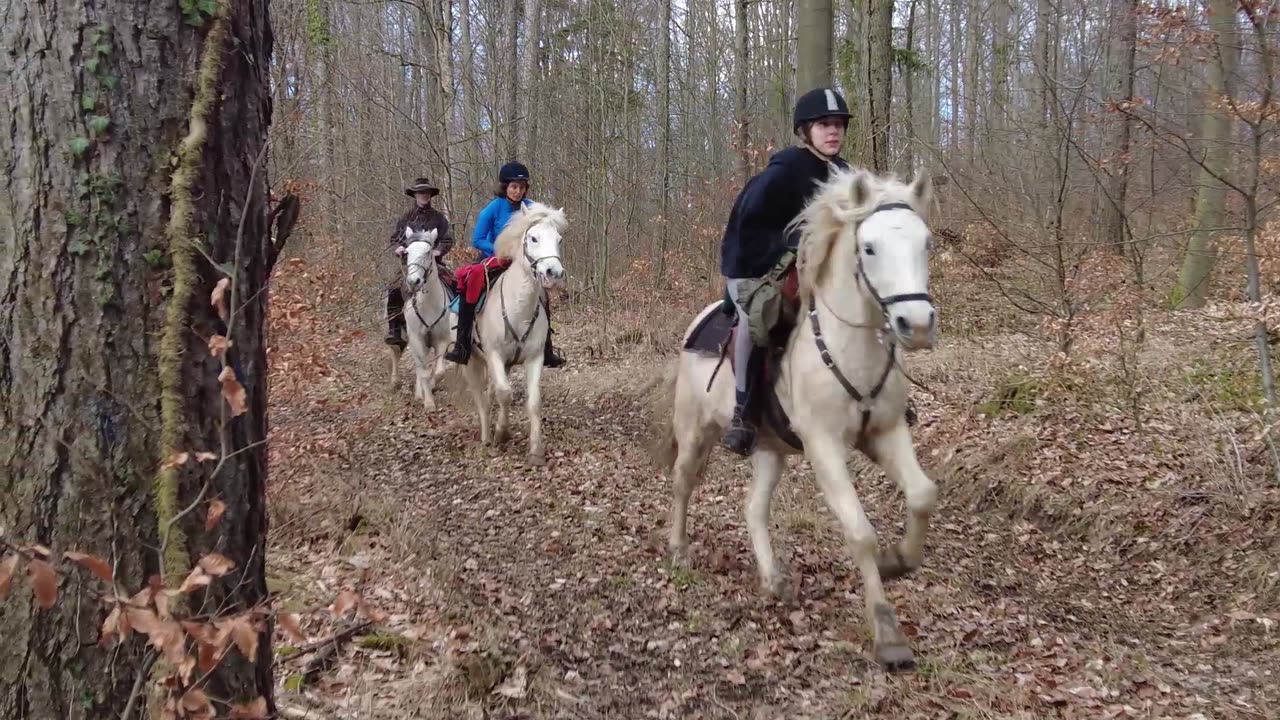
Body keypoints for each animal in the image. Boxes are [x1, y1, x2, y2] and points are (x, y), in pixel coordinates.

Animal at [394, 226, 455, 407]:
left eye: (428, 252)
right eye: (406, 252)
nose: (414, 281)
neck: (428, 305)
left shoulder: (441, 339)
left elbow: (439, 371)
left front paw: (432, 387)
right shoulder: (417, 339)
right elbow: (424, 371)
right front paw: (428, 403)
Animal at [458, 198, 563, 461]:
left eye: (559, 239)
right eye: (533, 238)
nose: (554, 273)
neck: (518, 310)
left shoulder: (534, 358)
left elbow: (533, 401)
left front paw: (536, 451)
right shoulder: (494, 354)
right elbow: (505, 393)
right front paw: (501, 434)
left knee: (491, 393)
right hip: (473, 361)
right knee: (481, 397)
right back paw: (486, 436)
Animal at [655, 165, 936, 671]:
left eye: (926, 243)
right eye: (869, 247)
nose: (918, 325)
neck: (850, 343)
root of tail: (696, 323)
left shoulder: (885, 432)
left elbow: (923, 494)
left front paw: (898, 560)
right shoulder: (825, 447)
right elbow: (859, 531)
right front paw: (887, 633)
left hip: (770, 450)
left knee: (753, 508)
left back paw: (773, 579)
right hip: (695, 431)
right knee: (683, 482)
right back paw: (679, 550)